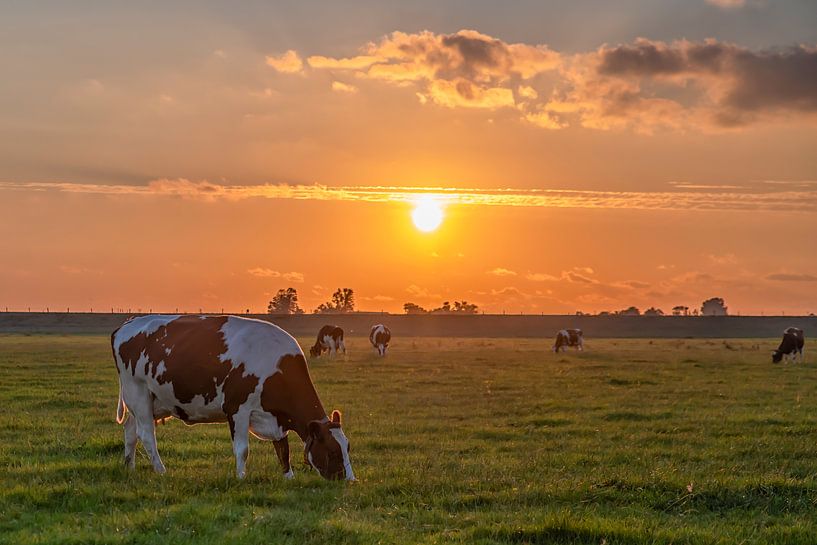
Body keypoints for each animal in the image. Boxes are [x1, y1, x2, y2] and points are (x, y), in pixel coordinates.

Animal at [112, 314, 355, 481]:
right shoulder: (237, 408)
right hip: (138, 392)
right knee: (146, 434)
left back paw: (129, 466)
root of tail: (128, 323)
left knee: (130, 430)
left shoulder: (276, 417)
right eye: (333, 450)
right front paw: (241, 477)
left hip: (150, 400)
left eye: (348, 447)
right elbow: (242, 449)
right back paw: (161, 470)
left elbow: (282, 448)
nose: (350, 480)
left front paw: (289, 477)